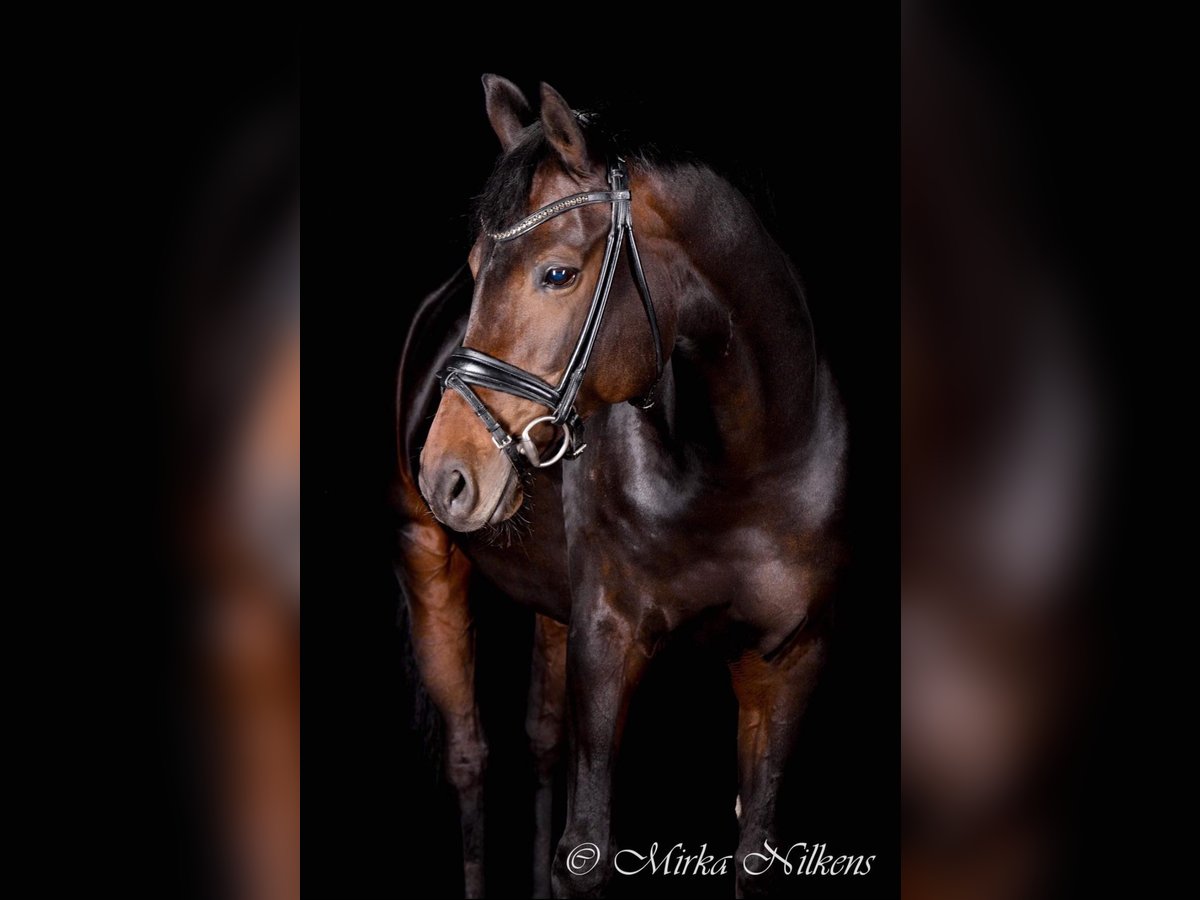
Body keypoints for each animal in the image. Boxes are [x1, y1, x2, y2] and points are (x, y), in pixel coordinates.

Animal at [391, 75, 847, 899]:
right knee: (469, 758)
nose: (447, 472)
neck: (744, 465)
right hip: (426, 558)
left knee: (542, 741)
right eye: (475, 268)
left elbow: (756, 853)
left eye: (558, 274)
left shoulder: (789, 659)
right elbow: (585, 854)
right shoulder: (608, 640)